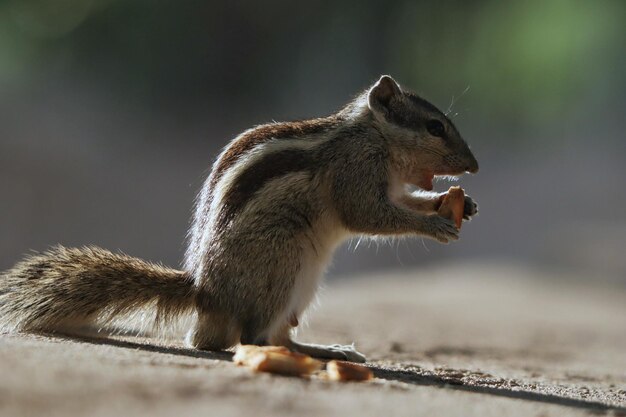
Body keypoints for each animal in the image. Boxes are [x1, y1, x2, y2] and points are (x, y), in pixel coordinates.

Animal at [1, 75, 478, 360]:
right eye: (435, 127)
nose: (472, 166)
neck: (373, 135)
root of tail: (206, 293)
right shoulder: (355, 169)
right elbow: (369, 214)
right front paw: (435, 224)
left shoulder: (391, 183)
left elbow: (404, 201)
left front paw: (457, 204)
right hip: (283, 262)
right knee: (251, 337)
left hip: (302, 285)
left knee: (273, 334)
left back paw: (324, 351)